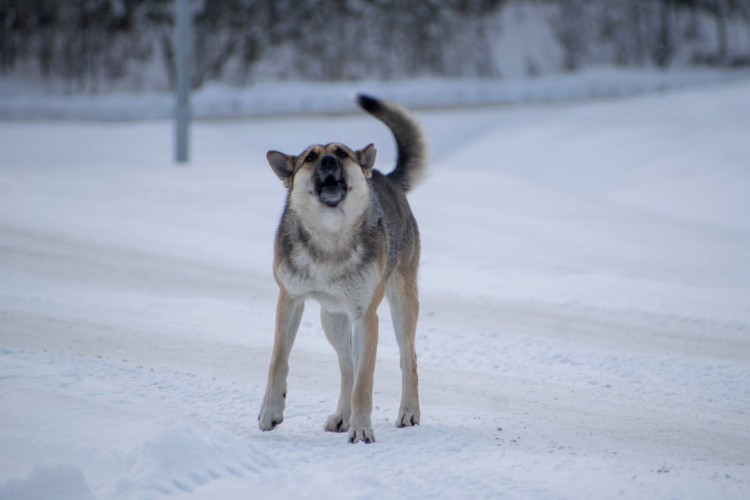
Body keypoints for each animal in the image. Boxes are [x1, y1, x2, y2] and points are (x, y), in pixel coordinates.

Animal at [258, 94, 426, 446]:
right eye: (310, 157)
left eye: (342, 153)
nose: (327, 162)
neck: (329, 239)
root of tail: (384, 176)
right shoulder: (289, 299)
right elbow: (278, 359)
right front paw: (270, 412)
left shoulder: (366, 315)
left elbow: (365, 380)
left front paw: (361, 429)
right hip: (331, 318)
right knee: (347, 365)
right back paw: (341, 416)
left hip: (401, 305)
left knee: (408, 359)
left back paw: (408, 413)